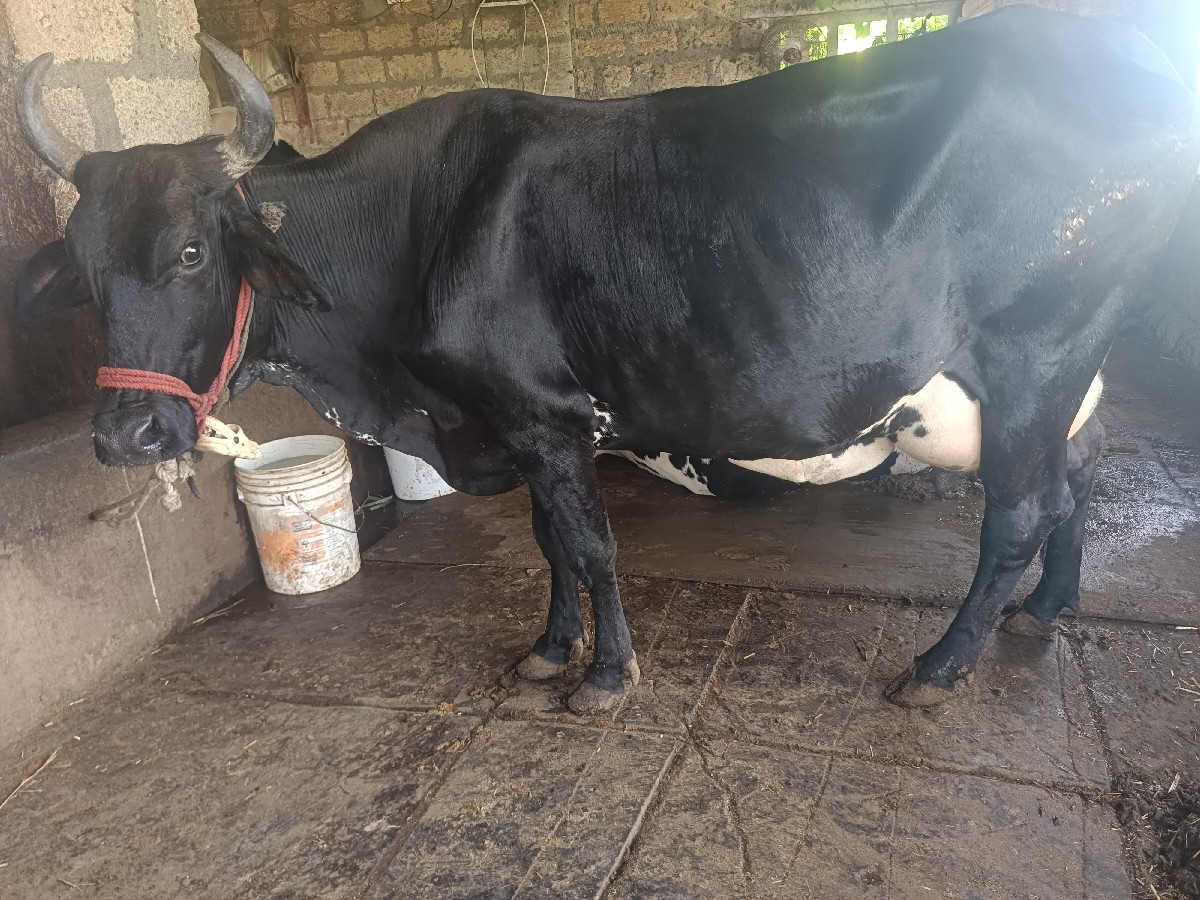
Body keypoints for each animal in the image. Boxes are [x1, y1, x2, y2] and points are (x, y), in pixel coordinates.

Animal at [12, 7, 1200, 714]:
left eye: (192, 250)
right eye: (82, 265)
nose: (126, 433)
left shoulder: (543, 411)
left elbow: (590, 545)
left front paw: (607, 677)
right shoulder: (520, 424)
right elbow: (549, 543)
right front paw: (549, 650)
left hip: (1036, 353)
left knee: (1018, 513)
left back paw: (940, 665)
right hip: (1061, 378)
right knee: (1077, 480)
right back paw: (1046, 613)